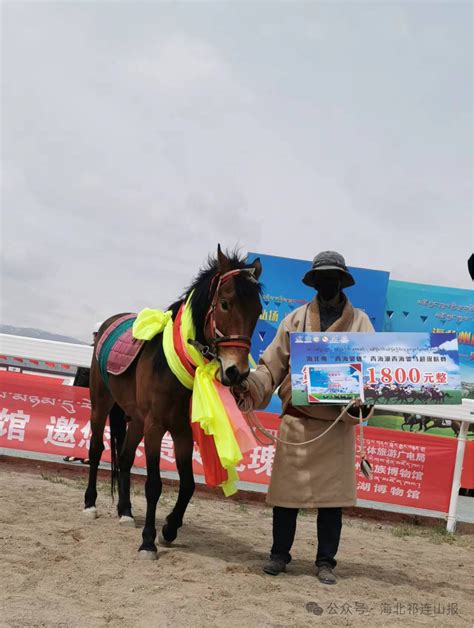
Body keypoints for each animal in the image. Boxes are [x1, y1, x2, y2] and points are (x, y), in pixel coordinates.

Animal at [83, 248, 262, 556]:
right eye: (225, 304)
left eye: (258, 312)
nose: (237, 372)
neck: (172, 363)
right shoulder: (156, 427)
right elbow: (154, 485)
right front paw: (148, 541)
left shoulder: (182, 431)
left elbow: (188, 484)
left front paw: (168, 529)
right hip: (101, 404)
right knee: (96, 450)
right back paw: (90, 504)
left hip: (136, 419)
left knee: (126, 459)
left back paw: (125, 512)